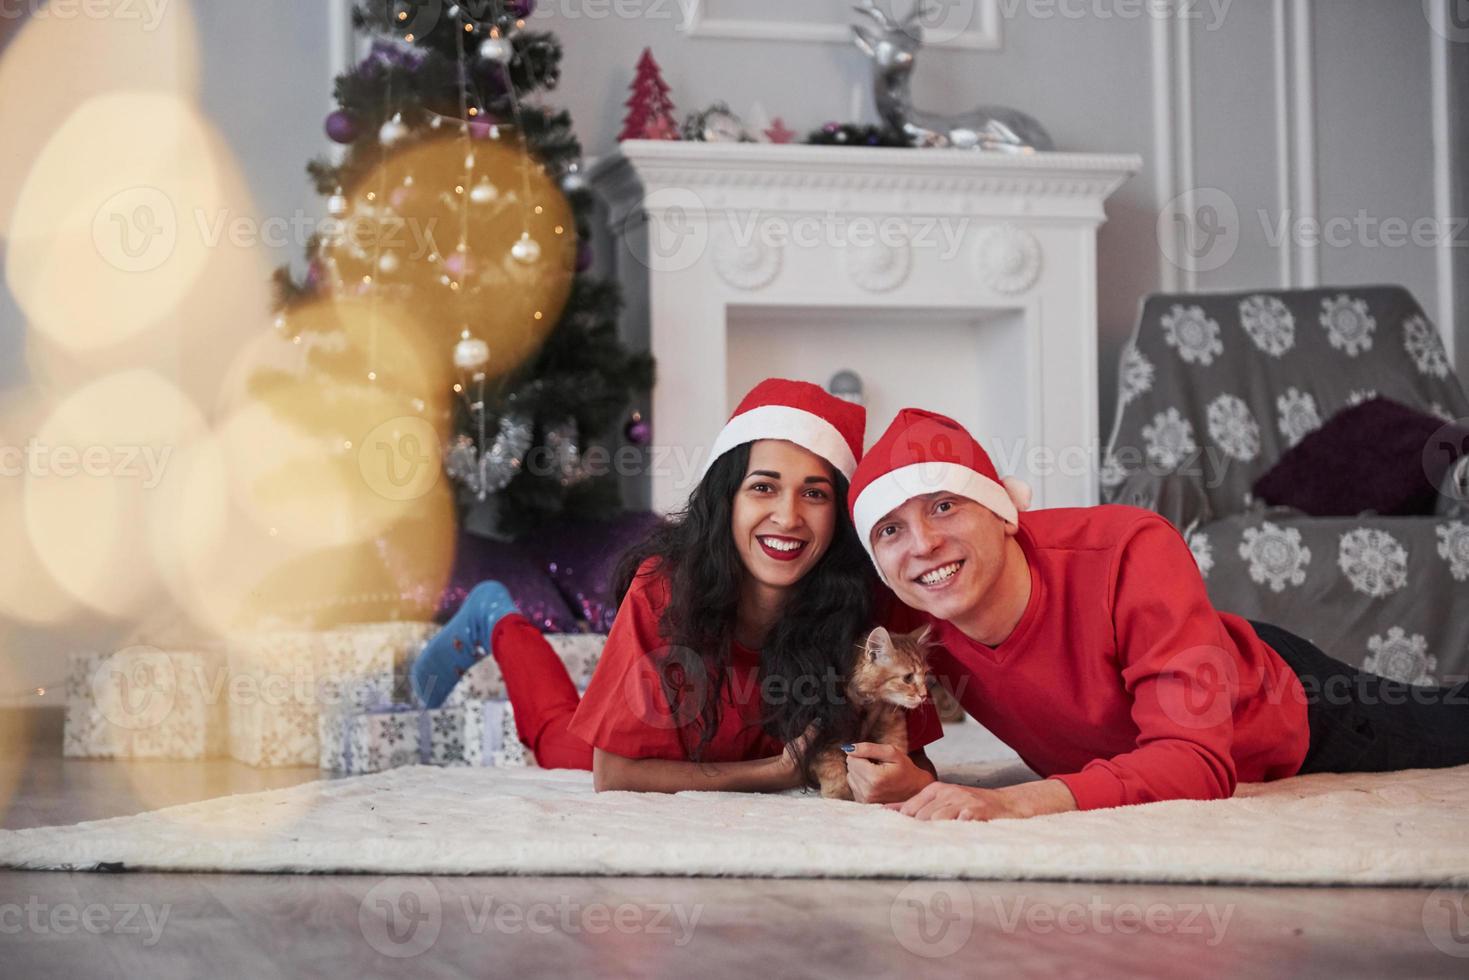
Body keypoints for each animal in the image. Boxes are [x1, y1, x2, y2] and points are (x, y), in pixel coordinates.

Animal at [816, 625, 928, 799]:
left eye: (925, 675)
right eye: (908, 677)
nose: (924, 695)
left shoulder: (893, 722)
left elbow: (897, 747)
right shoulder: (826, 729)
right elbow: (830, 765)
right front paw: (840, 795)